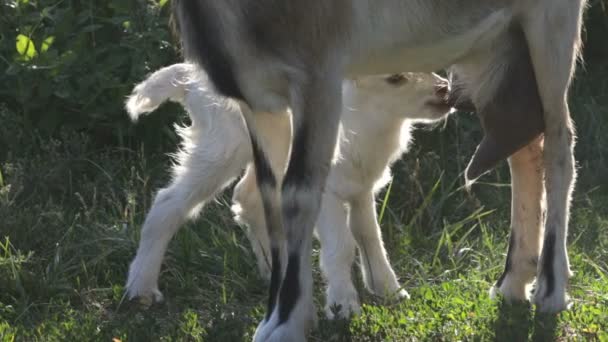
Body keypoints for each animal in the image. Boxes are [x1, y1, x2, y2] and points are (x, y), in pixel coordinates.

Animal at [123, 63, 452, 318]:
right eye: (394, 78)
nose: (444, 90)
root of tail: (190, 75)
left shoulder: (361, 186)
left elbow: (370, 236)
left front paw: (389, 290)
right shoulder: (326, 191)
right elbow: (342, 245)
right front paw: (343, 307)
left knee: (247, 199)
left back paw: (274, 272)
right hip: (221, 147)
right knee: (169, 204)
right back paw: (141, 290)